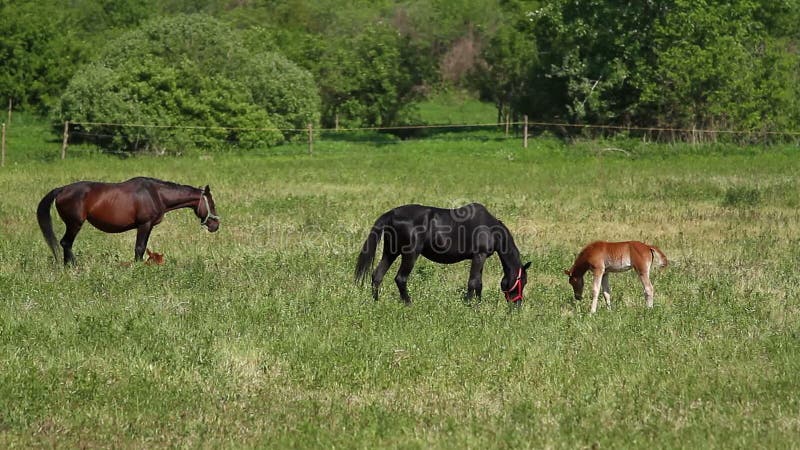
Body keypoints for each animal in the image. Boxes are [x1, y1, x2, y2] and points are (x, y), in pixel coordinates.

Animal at [36, 178, 220, 266]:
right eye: (212, 204)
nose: (215, 225)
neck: (156, 194)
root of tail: (61, 190)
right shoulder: (144, 224)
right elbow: (139, 248)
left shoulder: (149, 226)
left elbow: (143, 248)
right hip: (74, 224)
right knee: (66, 243)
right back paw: (72, 266)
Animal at [356, 205, 532, 306]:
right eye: (523, 281)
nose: (517, 306)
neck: (490, 228)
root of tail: (392, 213)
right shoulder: (479, 256)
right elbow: (472, 282)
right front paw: (468, 305)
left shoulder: (480, 258)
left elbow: (479, 284)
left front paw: (478, 305)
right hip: (410, 253)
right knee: (400, 278)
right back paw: (409, 303)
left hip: (391, 252)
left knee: (377, 275)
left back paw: (376, 302)